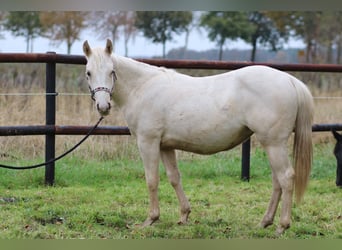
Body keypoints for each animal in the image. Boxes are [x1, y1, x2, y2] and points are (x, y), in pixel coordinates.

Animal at [81, 39, 314, 234]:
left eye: (112, 71)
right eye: (88, 73)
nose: (103, 107)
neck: (143, 88)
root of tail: (289, 80)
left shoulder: (148, 142)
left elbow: (152, 180)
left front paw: (151, 219)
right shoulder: (165, 146)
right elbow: (174, 178)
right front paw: (184, 215)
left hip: (274, 144)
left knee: (286, 178)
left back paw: (282, 226)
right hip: (272, 144)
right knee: (277, 181)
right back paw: (265, 222)